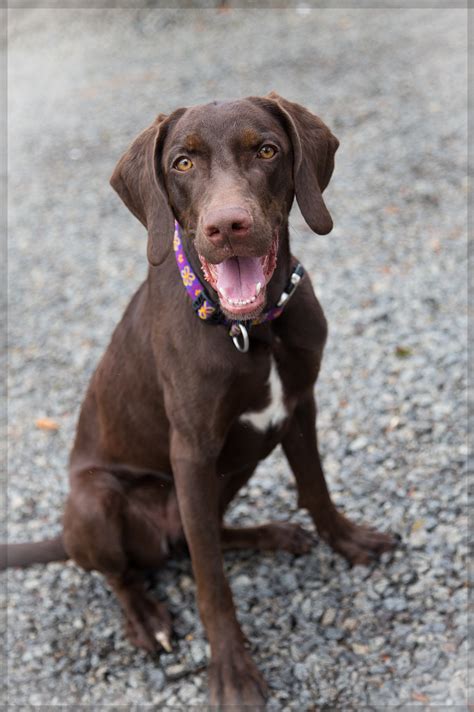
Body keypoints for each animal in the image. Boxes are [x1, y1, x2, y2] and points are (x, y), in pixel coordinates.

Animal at [3, 93, 398, 708]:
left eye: (267, 150)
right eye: (182, 164)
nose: (227, 225)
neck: (253, 331)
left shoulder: (299, 407)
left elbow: (316, 489)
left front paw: (350, 540)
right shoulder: (190, 452)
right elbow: (212, 583)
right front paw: (232, 671)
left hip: (238, 463)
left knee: (193, 539)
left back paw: (269, 534)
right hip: (96, 500)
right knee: (134, 568)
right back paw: (145, 616)